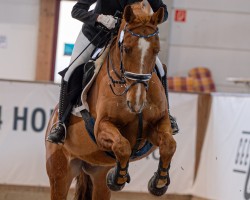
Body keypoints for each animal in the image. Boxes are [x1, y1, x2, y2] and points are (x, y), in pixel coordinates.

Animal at [46, 1, 177, 200]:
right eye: (126, 49)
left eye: (156, 51)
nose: (137, 103)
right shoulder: (101, 127)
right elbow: (122, 146)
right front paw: (118, 178)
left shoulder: (158, 123)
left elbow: (169, 145)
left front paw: (159, 182)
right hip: (59, 173)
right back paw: (58, 131)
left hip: (98, 175)